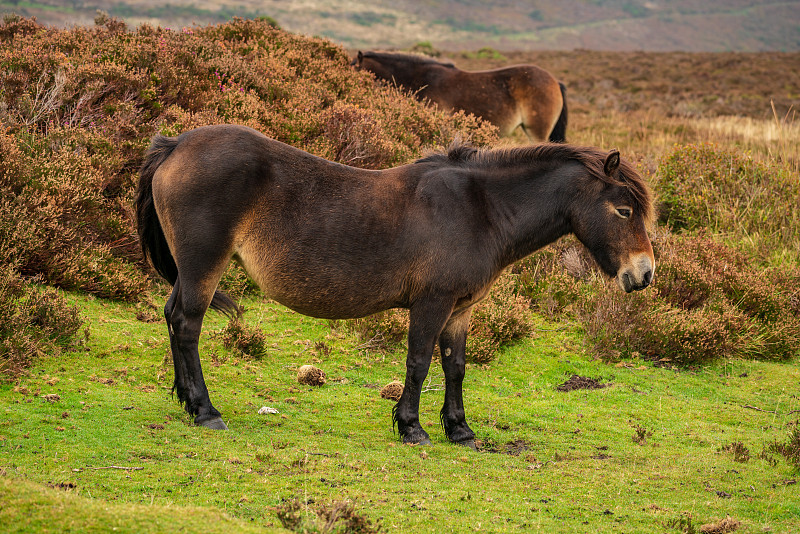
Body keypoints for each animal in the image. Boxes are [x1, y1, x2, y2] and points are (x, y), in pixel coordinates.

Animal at [134, 124, 652, 448]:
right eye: (624, 211)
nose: (644, 274)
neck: (481, 209)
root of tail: (176, 144)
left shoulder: (460, 309)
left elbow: (455, 367)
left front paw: (460, 430)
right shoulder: (432, 303)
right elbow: (419, 363)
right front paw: (412, 428)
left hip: (188, 270)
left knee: (172, 317)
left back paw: (186, 401)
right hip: (204, 264)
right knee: (187, 325)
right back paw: (206, 411)